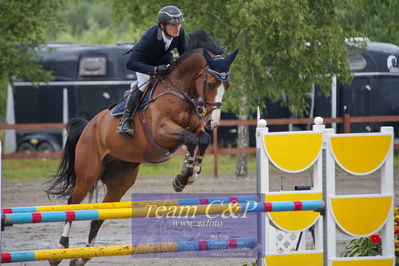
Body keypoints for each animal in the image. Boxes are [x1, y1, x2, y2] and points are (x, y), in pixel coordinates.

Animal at [46, 29, 241, 266]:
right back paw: (60, 250)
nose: (214, 122)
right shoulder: (162, 132)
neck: (181, 91)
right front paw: (184, 177)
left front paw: (188, 175)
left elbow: (201, 139)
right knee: (72, 203)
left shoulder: (195, 128)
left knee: (100, 215)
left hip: (120, 182)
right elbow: (191, 139)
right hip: (88, 173)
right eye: (211, 83)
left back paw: (82, 257)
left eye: (228, 85)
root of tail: (88, 127)